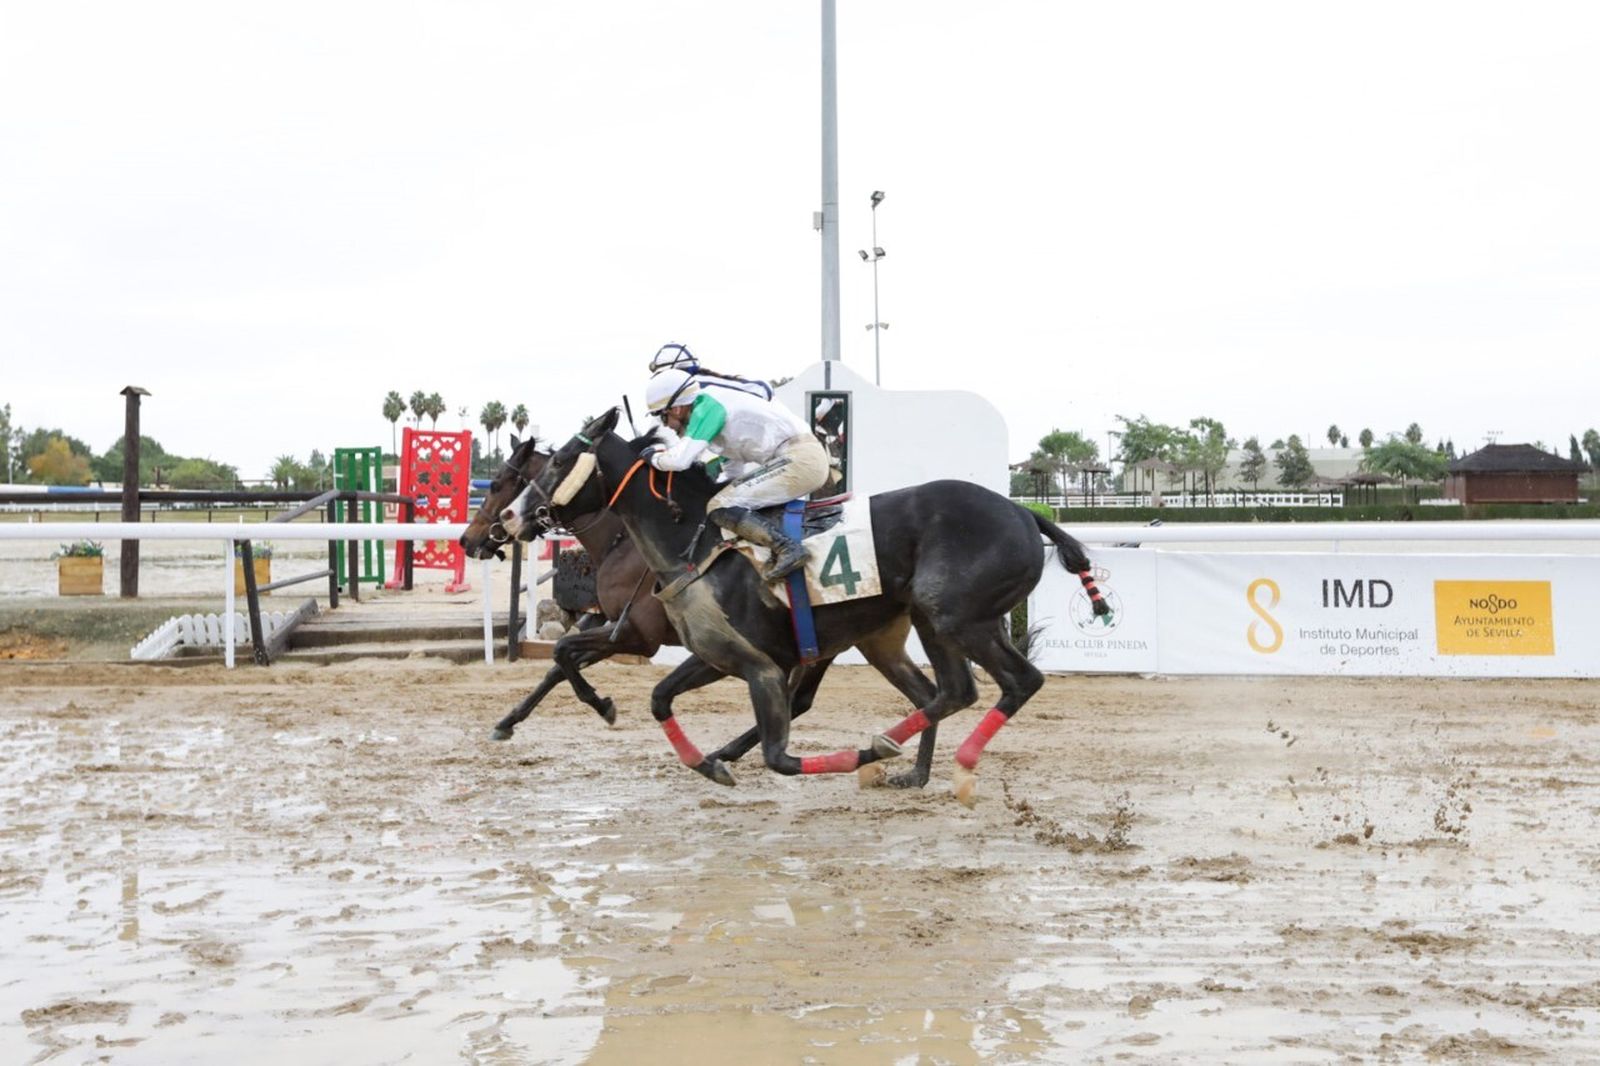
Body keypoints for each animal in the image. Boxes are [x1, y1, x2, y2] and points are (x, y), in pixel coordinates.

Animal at [461, 436, 943, 787]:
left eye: (500, 481)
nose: (469, 539)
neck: (626, 542)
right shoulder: (611, 622)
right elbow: (557, 662)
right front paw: (508, 721)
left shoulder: (638, 635)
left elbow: (564, 656)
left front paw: (603, 706)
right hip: (851, 639)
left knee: (801, 699)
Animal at [512, 408, 1109, 805]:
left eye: (559, 461)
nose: (514, 518)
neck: (697, 544)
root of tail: (1025, 513)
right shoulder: (711, 654)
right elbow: (658, 697)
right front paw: (706, 762)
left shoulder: (760, 664)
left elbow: (780, 756)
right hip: (910, 627)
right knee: (950, 691)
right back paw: (909, 768)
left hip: (956, 616)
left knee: (1016, 681)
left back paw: (942, 762)